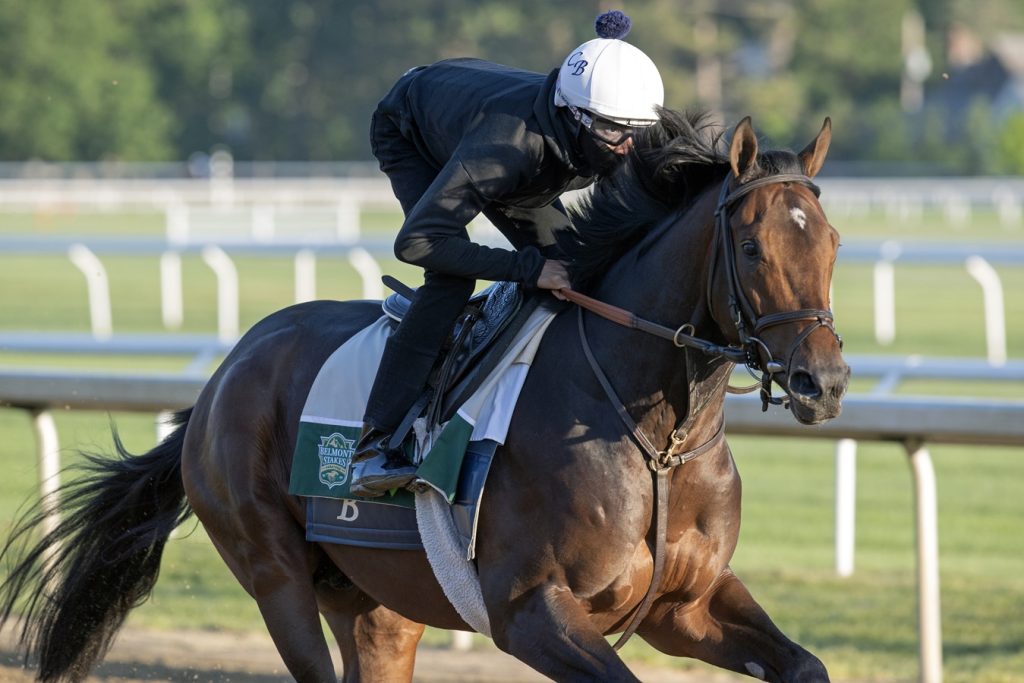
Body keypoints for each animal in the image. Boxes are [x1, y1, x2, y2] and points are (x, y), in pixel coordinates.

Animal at [0, 113, 847, 683]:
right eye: (751, 247)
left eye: (833, 242)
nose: (826, 381)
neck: (657, 439)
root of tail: (220, 379)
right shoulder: (530, 610)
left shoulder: (685, 605)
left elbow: (806, 663)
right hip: (271, 569)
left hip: (376, 604)